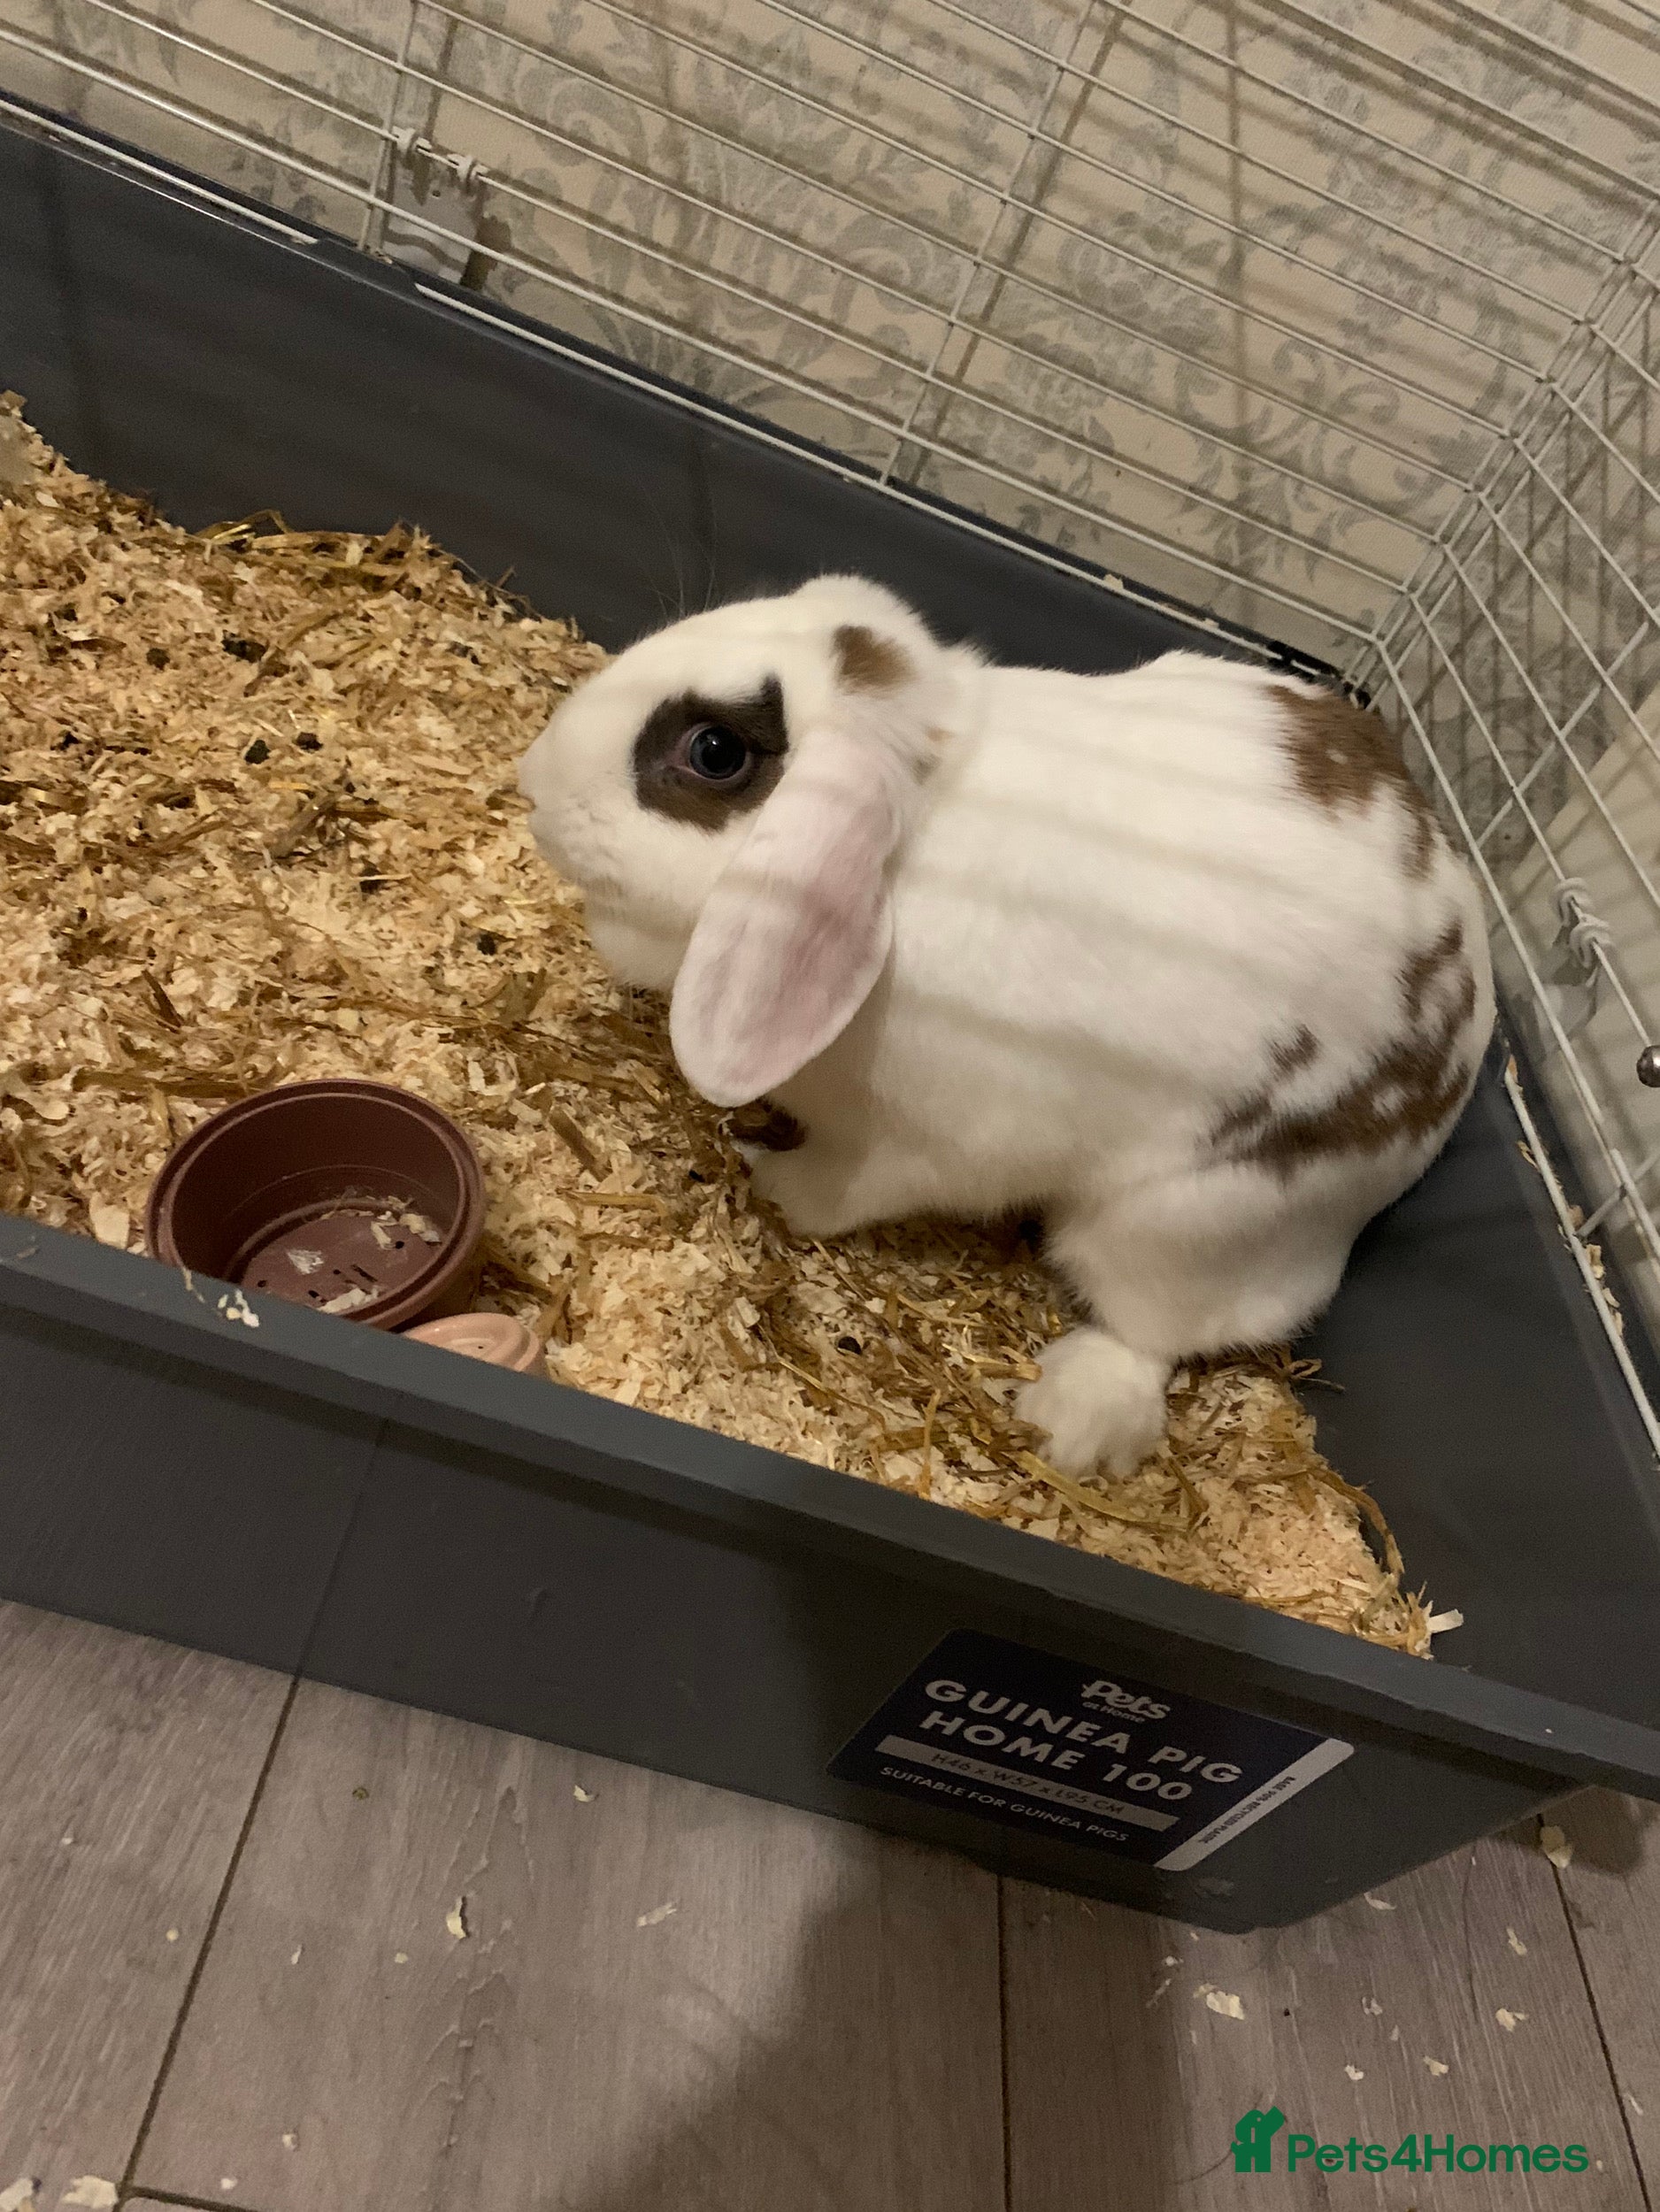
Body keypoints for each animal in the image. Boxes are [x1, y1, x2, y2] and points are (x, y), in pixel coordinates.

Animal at [518, 574, 1493, 1477]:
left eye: (713, 751)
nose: (532, 777)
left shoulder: (929, 1144)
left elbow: (839, 1192)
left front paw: (766, 1172)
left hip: (1189, 1220)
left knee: (1154, 1332)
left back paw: (1068, 1415)